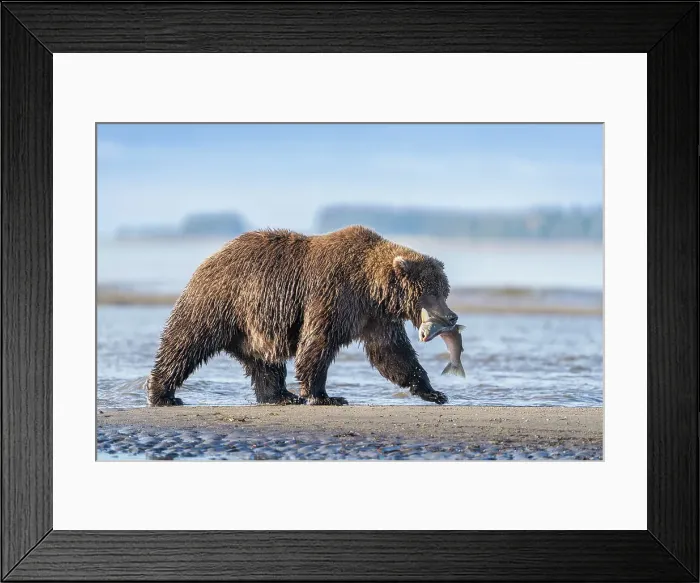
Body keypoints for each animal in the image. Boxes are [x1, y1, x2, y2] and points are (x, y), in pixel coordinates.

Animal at [146, 225, 459, 407]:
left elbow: (392, 353)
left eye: (444, 290)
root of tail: (209, 258)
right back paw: (163, 394)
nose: (452, 317)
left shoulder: (375, 317)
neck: (371, 289)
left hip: (254, 327)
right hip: (220, 303)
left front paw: (433, 391)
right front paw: (325, 395)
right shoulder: (334, 293)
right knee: (185, 342)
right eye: (431, 292)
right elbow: (318, 342)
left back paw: (281, 396)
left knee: (265, 362)